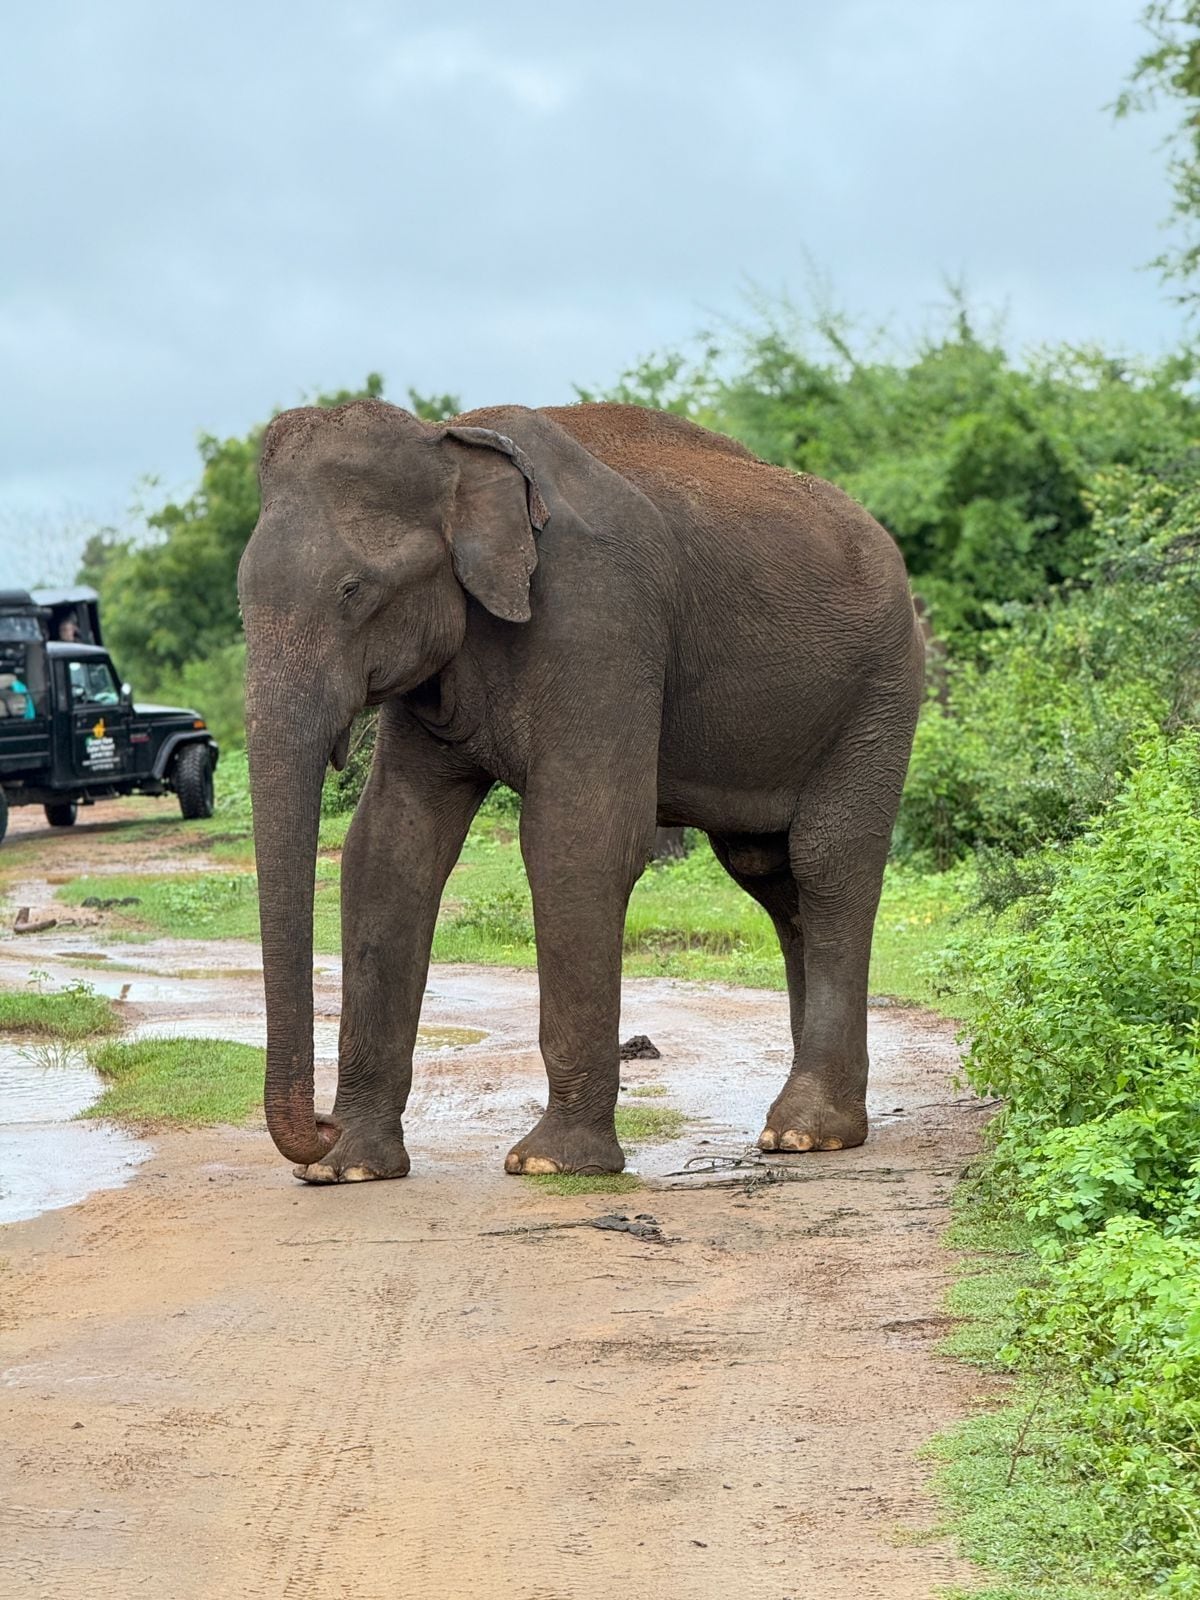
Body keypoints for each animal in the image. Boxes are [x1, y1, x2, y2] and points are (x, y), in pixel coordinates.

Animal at [237, 399, 924, 1183]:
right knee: (771, 876)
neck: (450, 441)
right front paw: (347, 1169)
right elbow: (390, 846)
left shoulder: (600, 619)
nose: (317, 1128)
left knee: (826, 863)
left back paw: (805, 1133)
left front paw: (550, 1163)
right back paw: (813, 1128)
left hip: (882, 689)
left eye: (354, 592)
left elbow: (578, 840)